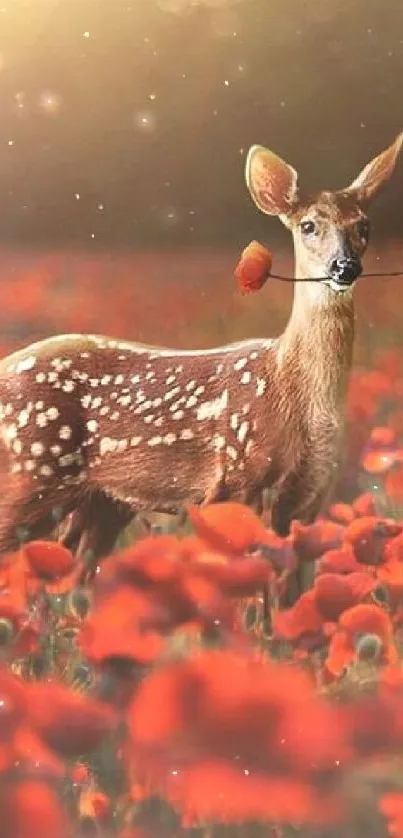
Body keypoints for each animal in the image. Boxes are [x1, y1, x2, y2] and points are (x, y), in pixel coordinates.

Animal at [0, 133, 400, 576]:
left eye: (364, 225)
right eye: (308, 225)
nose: (343, 266)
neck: (291, 386)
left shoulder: (309, 501)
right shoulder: (236, 480)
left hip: (102, 502)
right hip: (30, 473)